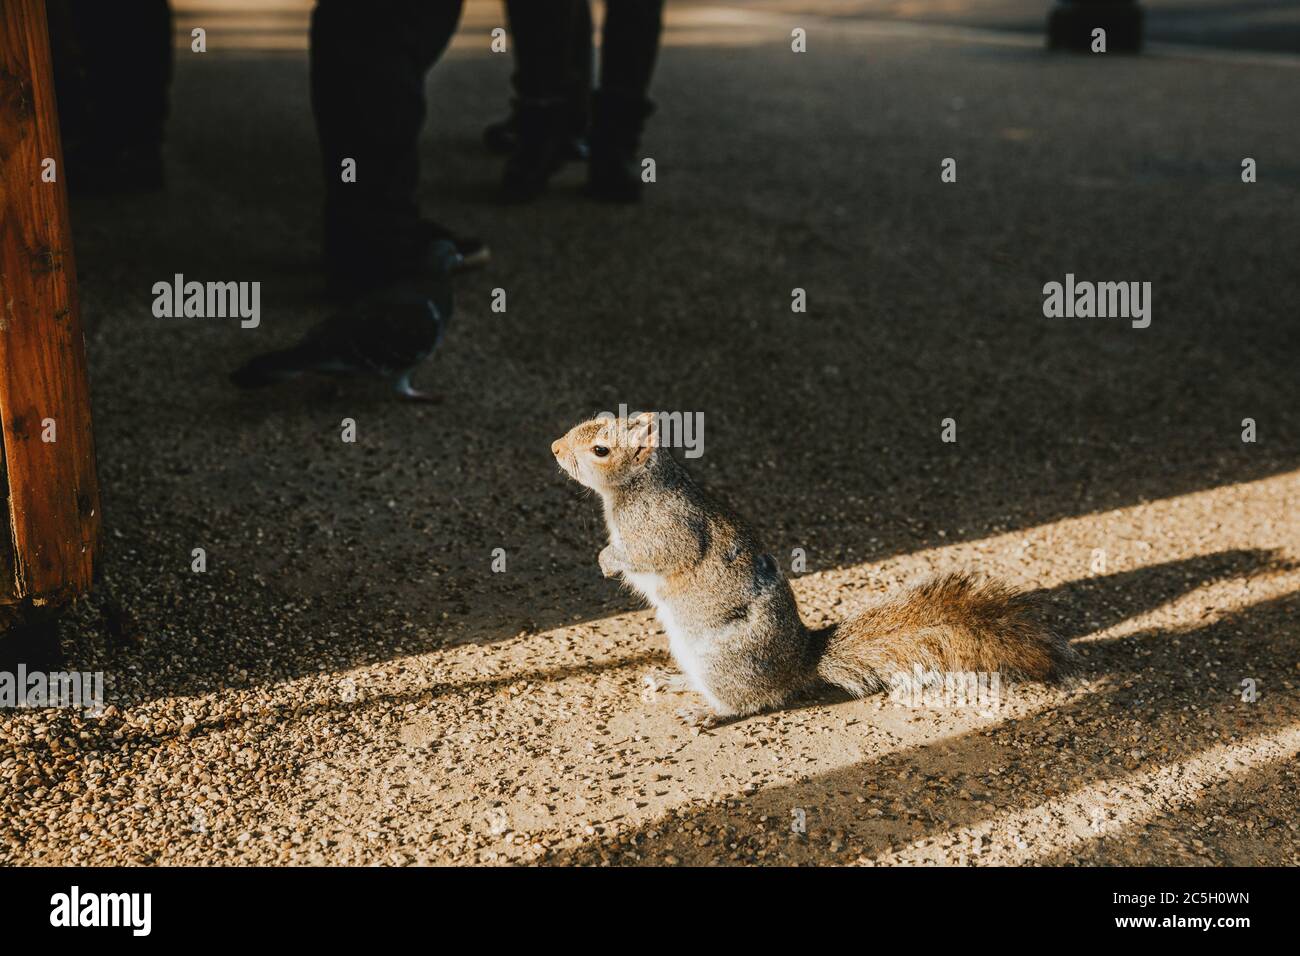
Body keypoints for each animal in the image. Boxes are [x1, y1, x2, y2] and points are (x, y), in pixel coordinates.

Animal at [552, 412, 1076, 727]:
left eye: (600, 449)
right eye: (594, 418)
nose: (555, 447)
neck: (636, 487)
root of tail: (798, 661)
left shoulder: (668, 528)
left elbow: (654, 554)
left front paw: (609, 559)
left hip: (723, 659)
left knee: (748, 700)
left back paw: (709, 713)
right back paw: (676, 682)